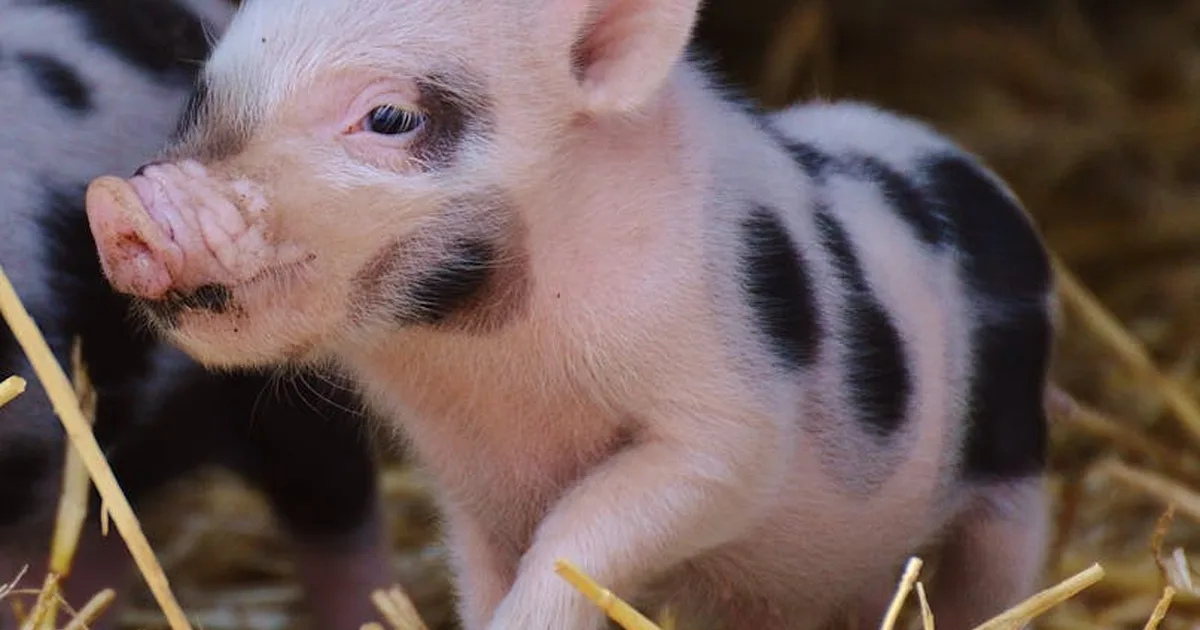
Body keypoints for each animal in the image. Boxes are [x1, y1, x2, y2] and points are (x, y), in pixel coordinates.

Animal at [81, 0, 1056, 628]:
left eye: (390, 116)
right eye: (203, 96)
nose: (123, 208)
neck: (493, 367)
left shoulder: (722, 420)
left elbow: (588, 529)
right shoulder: (465, 482)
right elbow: (485, 571)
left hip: (1012, 474)